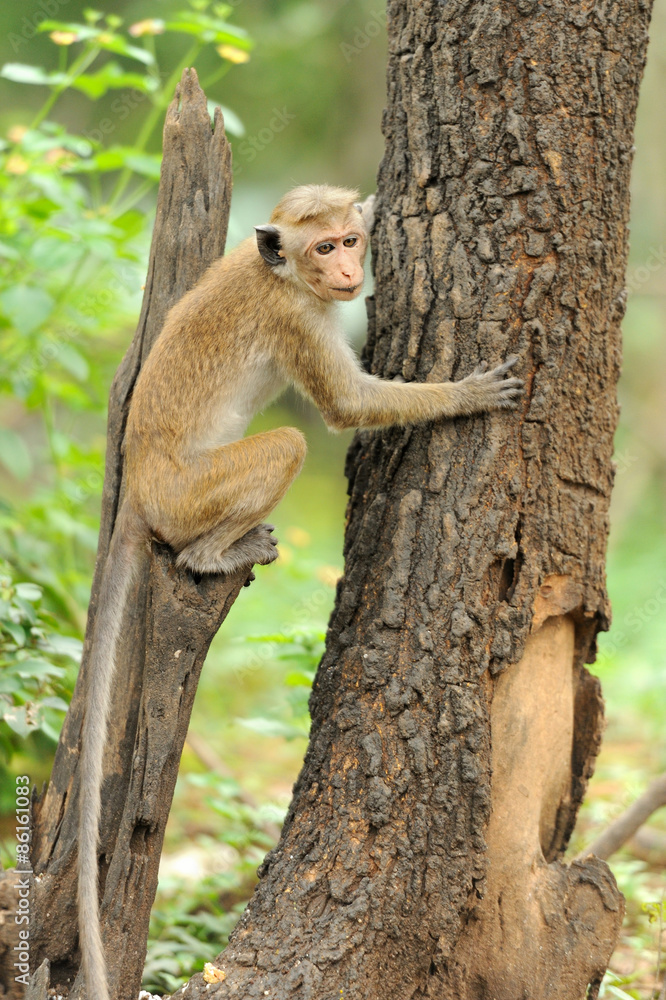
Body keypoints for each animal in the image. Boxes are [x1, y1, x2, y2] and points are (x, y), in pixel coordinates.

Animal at [78, 182, 520, 1000]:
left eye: (349, 238)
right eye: (324, 248)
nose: (348, 269)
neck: (284, 277)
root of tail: (138, 491)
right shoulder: (299, 323)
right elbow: (350, 407)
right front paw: (466, 394)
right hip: (190, 497)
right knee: (283, 447)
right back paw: (210, 556)